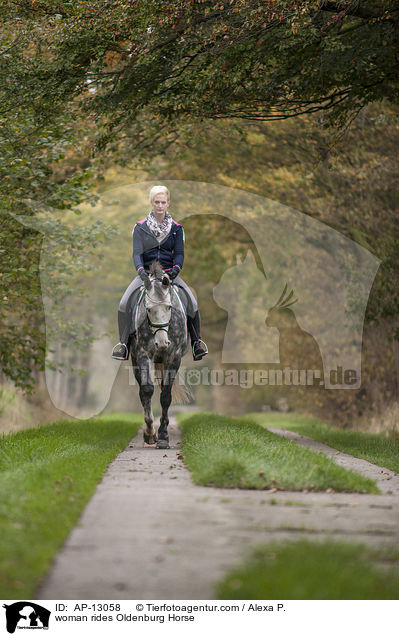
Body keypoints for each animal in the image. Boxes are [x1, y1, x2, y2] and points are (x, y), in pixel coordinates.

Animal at [130, 260, 189, 450]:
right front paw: (150, 434)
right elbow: (147, 390)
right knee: (142, 391)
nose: (162, 343)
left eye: (169, 307)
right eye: (148, 309)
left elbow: (165, 395)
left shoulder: (174, 357)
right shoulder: (143, 354)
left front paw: (163, 436)